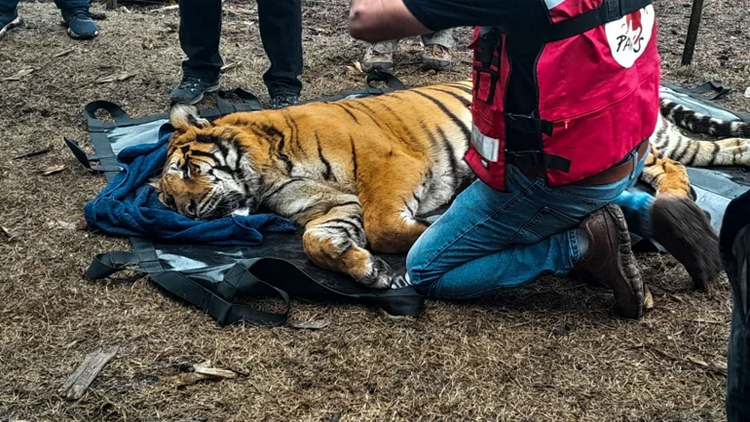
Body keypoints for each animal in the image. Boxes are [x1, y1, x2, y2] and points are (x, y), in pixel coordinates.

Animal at [152, 79, 750, 290]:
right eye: (166, 198)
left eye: (186, 172)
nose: (189, 212)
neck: (267, 177)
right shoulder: (326, 209)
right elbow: (318, 241)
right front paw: (368, 271)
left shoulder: (388, 164)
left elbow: (388, 225)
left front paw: (430, 229)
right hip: (677, 144)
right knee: (720, 151)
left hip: (648, 141)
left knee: (671, 166)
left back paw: (679, 200)